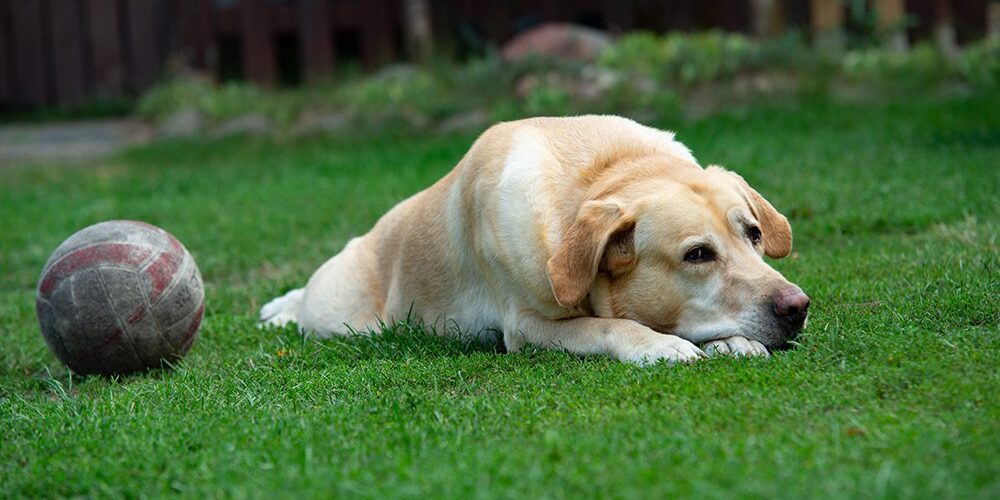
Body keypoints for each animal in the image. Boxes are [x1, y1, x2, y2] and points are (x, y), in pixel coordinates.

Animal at [260, 115, 809, 365]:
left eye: (753, 234)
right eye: (697, 255)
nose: (797, 307)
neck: (600, 172)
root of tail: (366, 236)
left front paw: (731, 340)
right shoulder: (527, 327)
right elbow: (611, 327)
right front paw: (660, 344)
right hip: (337, 317)